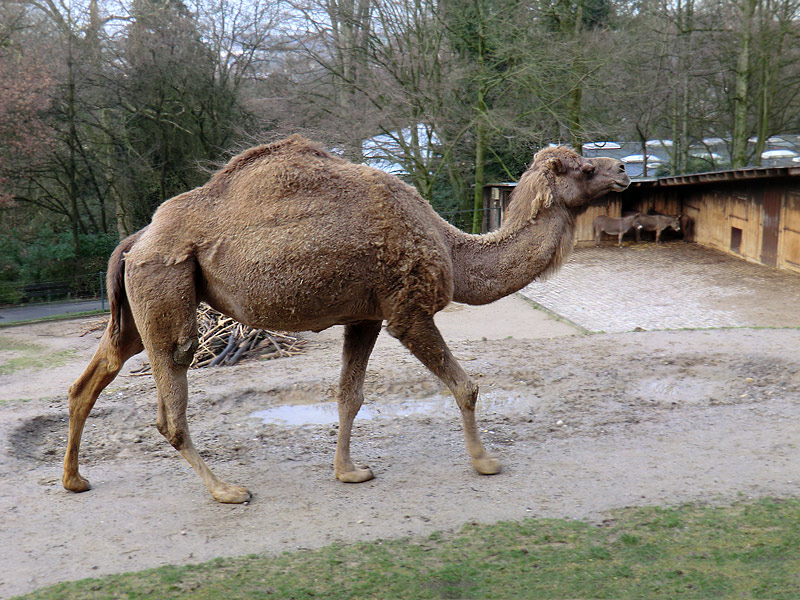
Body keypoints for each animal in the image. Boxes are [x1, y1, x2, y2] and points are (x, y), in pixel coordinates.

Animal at [62, 135, 632, 502]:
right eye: (584, 168)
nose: (624, 171)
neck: (451, 246)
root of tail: (137, 239)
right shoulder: (407, 310)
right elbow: (464, 385)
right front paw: (485, 462)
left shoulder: (366, 316)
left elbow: (349, 396)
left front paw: (349, 472)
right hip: (166, 283)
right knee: (171, 394)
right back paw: (226, 490)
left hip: (140, 303)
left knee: (94, 375)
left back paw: (74, 480)